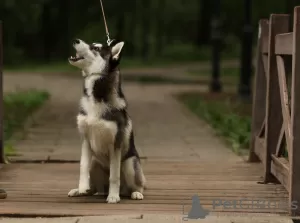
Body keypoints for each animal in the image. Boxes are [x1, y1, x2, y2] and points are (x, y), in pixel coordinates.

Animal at [68, 38, 148, 204]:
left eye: (97, 48)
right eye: (92, 45)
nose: (75, 40)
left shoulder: (115, 144)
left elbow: (114, 175)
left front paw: (113, 196)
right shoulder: (86, 140)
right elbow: (82, 167)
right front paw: (81, 187)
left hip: (130, 164)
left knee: (137, 185)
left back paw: (135, 193)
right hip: (95, 162)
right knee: (94, 187)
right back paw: (84, 191)